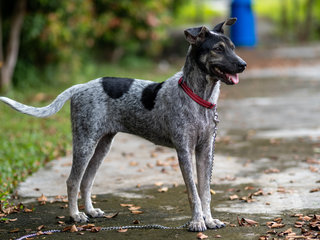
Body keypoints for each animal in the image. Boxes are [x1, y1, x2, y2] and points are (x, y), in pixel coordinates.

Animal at [0, 17, 246, 232]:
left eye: (233, 47)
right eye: (218, 49)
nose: (243, 65)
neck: (198, 97)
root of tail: (80, 87)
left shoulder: (205, 150)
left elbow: (205, 191)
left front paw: (209, 220)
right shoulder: (184, 150)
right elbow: (193, 192)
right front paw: (197, 222)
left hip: (102, 145)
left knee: (86, 181)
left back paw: (90, 211)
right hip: (85, 142)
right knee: (73, 181)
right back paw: (76, 216)